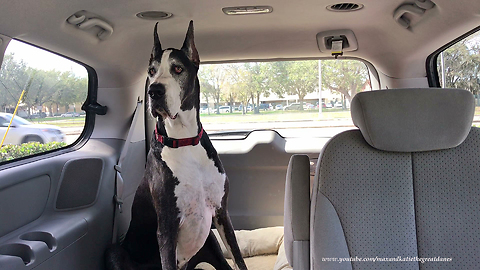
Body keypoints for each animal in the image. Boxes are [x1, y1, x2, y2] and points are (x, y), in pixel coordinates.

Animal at [105, 21, 248, 270]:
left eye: (178, 69)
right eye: (151, 71)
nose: (154, 91)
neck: (183, 141)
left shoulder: (222, 213)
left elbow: (239, 259)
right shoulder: (167, 228)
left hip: (210, 240)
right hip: (115, 252)